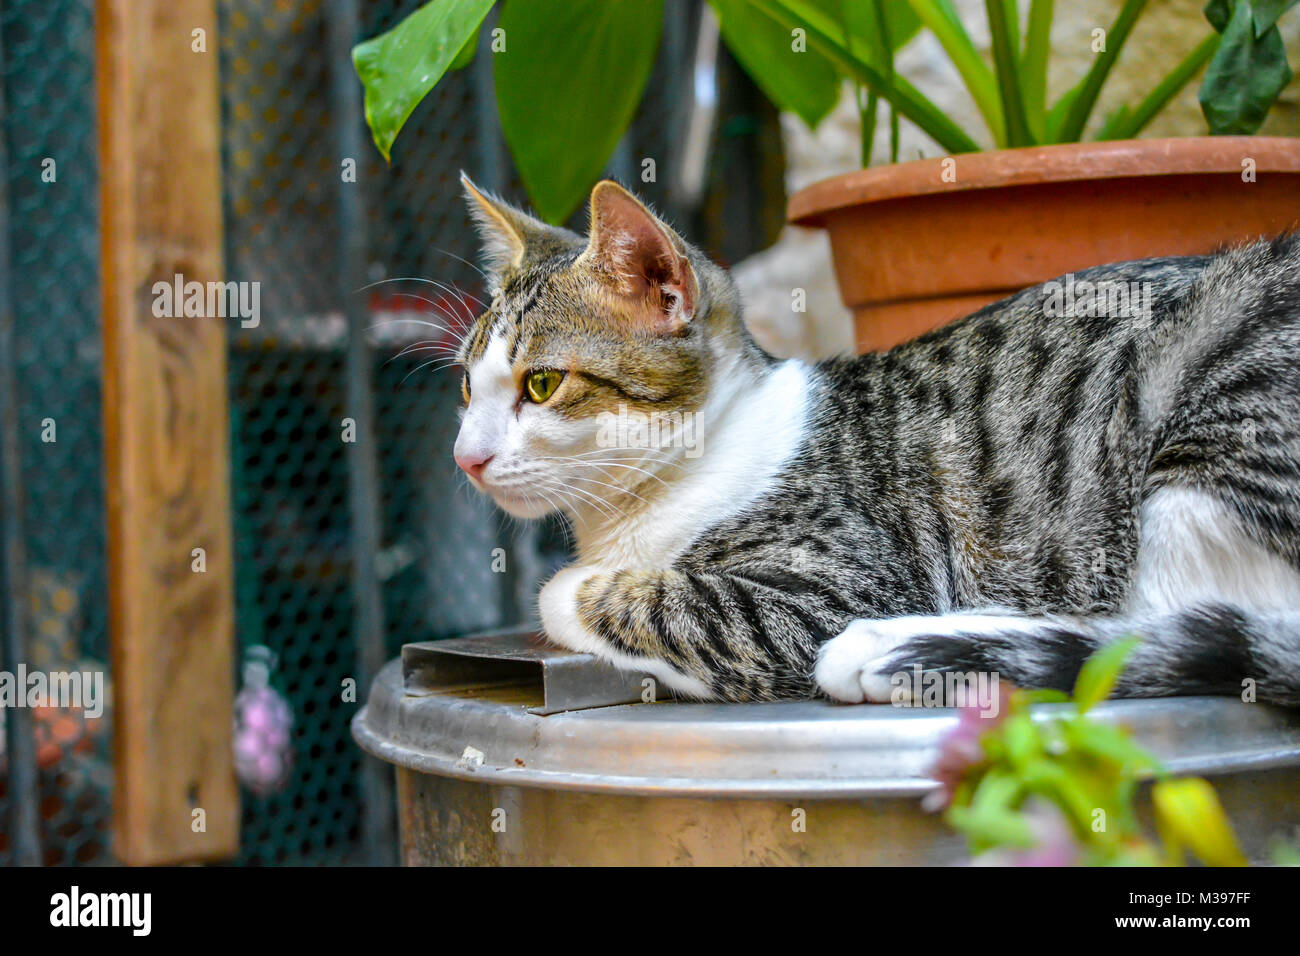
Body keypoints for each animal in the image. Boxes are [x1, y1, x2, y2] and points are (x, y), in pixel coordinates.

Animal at [452, 175, 1300, 707]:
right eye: (466, 385)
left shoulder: (832, 582)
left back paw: (895, 650)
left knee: (1158, 620)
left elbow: (621, 597)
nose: (467, 457)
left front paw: (578, 587)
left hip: (1209, 420)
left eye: (541, 384)